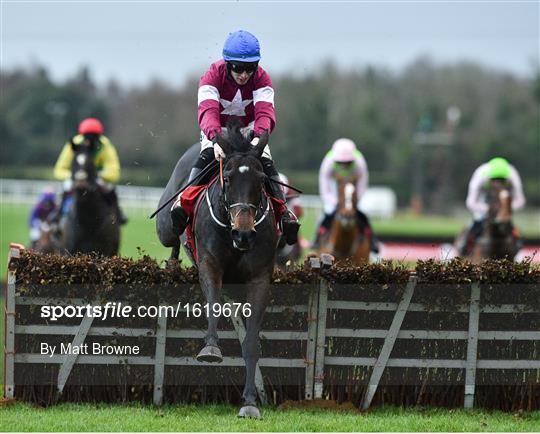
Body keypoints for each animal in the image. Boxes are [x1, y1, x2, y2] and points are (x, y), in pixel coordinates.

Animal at [156, 121, 278, 418]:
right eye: (228, 178)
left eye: (261, 179)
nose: (244, 234)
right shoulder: (210, 263)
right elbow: (212, 303)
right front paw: (211, 348)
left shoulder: (259, 276)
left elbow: (251, 343)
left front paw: (249, 402)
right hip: (164, 227)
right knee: (171, 238)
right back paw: (172, 259)